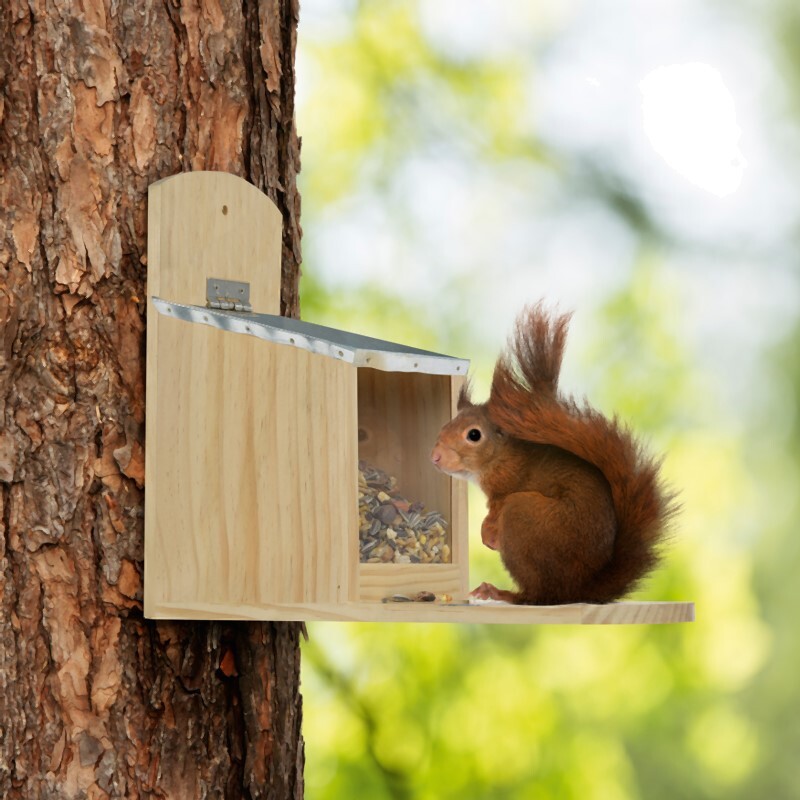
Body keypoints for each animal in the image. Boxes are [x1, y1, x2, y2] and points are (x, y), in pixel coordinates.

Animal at [430, 302, 677, 605]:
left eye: (474, 435)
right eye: (446, 424)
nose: (435, 456)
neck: (502, 457)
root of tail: (576, 590)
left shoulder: (506, 486)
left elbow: (495, 511)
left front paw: (488, 534)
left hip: (524, 516)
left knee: (535, 595)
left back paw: (501, 592)